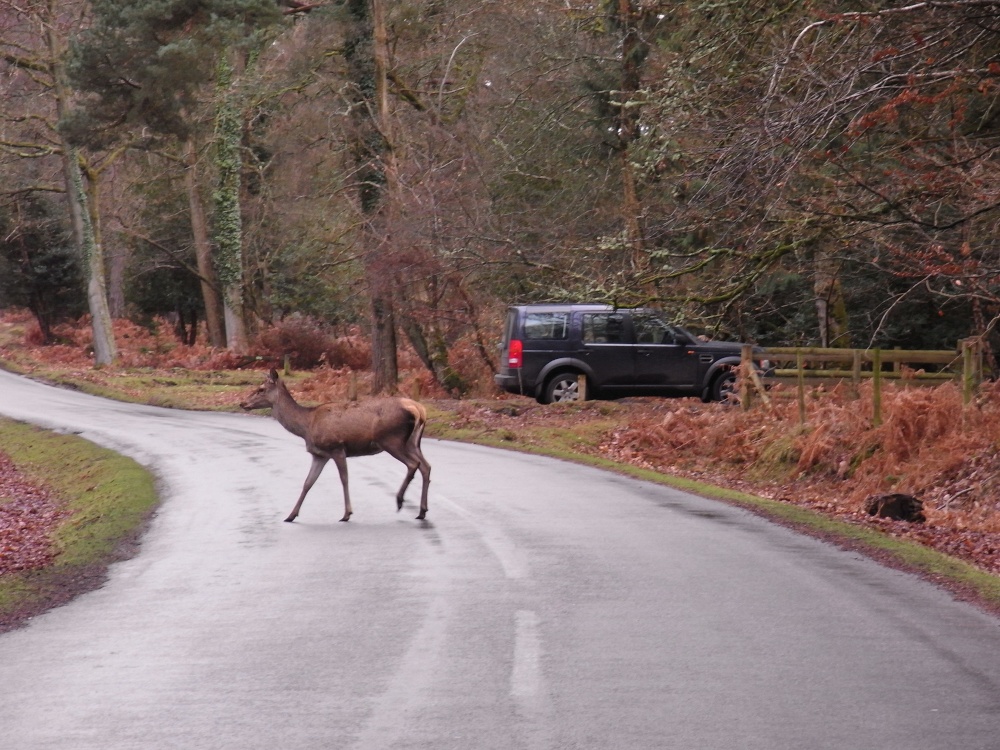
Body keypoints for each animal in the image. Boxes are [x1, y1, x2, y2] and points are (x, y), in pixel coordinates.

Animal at [243, 368, 434, 524]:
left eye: (261, 389)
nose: (242, 403)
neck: (307, 426)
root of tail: (419, 410)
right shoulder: (319, 455)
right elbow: (308, 482)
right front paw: (291, 515)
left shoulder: (336, 448)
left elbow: (344, 479)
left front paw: (347, 513)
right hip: (413, 443)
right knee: (426, 466)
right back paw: (422, 511)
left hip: (391, 439)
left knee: (413, 464)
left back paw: (400, 500)